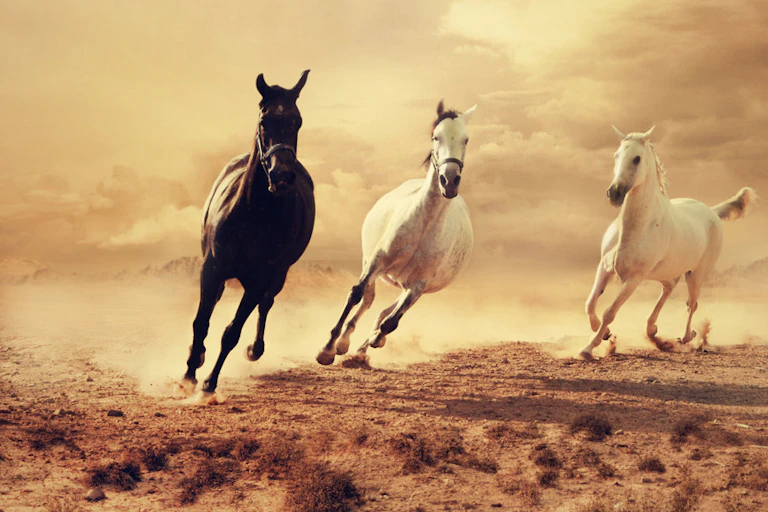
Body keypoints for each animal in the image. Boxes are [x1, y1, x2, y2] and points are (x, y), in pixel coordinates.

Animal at [183, 70, 315, 393]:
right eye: (264, 120)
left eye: (297, 121)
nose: (282, 175)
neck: (254, 214)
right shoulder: (212, 267)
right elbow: (201, 322)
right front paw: (190, 372)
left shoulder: (260, 278)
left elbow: (232, 331)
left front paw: (209, 383)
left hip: (278, 275)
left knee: (266, 305)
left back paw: (255, 349)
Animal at [316, 100, 477, 365]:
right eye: (436, 136)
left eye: (466, 139)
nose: (450, 181)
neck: (423, 226)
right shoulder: (376, 261)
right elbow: (356, 294)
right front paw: (327, 349)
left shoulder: (419, 284)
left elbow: (390, 323)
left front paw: (374, 339)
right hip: (370, 263)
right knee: (368, 300)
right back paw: (343, 343)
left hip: (408, 286)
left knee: (386, 312)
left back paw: (362, 347)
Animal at [579, 125, 756, 360]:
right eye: (616, 155)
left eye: (637, 158)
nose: (614, 193)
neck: (636, 228)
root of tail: (712, 212)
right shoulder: (605, 267)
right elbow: (590, 303)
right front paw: (604, 333)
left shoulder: (634, 279)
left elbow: (610, 312)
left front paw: (588, 348)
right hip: (665, 271)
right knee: (669, 289)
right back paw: (652, 330)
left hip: (696, 275)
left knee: (692, 304)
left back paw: (687, 337)